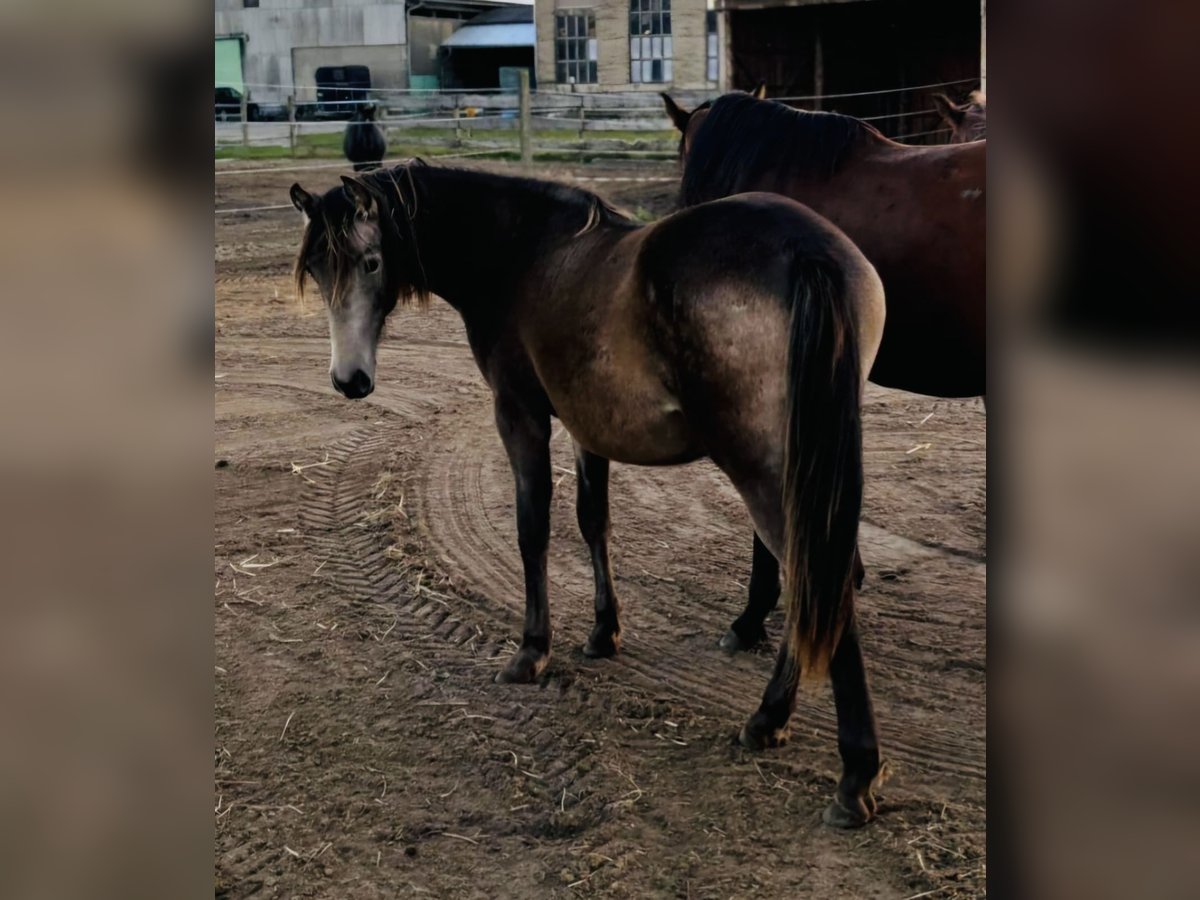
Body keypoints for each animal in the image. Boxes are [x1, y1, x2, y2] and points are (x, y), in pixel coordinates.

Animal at [290, 165, 892, 830]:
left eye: (371, 261)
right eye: (316, 268)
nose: (349, 380)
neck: (522, 251)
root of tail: (805, 252)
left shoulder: (520, 414)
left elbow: (533, 529)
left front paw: (532, 651)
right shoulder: (589, 427)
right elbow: (592, 522)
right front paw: (605, 632)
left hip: (761, 472)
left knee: (817, 580)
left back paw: (850, 773)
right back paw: (771, 721)